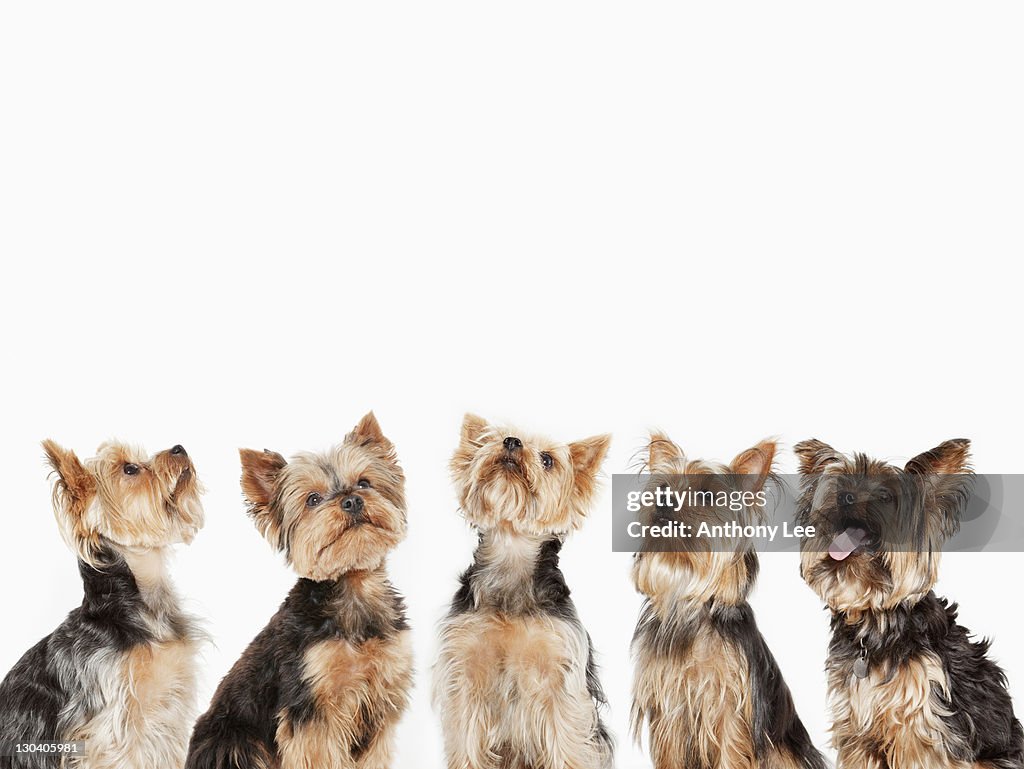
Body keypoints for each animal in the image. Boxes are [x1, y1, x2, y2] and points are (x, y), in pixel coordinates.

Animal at [186, 415, 409, 769]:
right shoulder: (311, 703)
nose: (351, 500)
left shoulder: (379, 703)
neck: (353, 587)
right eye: (313, 500)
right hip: (235, 743)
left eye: (364, 483)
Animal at [434, 415, 614, 769]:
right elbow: (466, 736)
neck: (512, 551)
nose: (512, 442)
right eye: (500, 437)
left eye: (547, 460)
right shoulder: (465, 672)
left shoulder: (559, 678)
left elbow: (565, 742)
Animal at [630, 434, 823, 769]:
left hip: (784, 752)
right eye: (663, 487)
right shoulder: (669, 705)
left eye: (707, 495)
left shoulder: (729, 706)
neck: (691, 606)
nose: (664, 500)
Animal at [790, 442, 1024, 769]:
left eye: (885, 496)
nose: (845, 497)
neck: (876, 621)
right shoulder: (858, 731)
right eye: (841, 485)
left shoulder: (920, 731)